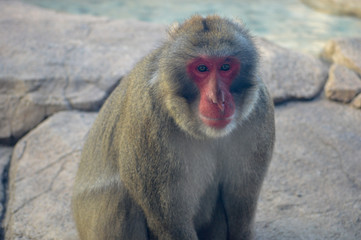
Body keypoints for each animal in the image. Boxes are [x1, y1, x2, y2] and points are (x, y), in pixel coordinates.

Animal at [71, 15, 272, 240]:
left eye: (225, 67)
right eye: (202, 68)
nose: (217, 99)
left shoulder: (259, 112)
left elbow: (241, 213)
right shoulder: (149, 122)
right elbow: (171, 224)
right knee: (122, 198)